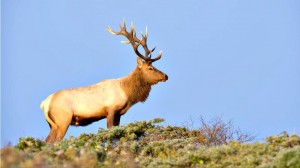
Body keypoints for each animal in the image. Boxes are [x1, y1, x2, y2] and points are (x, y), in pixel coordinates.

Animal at [39, 21, 169, 144]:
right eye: (150, 68)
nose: (165, 76)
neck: (127, 92)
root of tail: (45, 103)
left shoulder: (119, 114)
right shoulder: (111, 110)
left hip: (53, 125)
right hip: (63, 120)